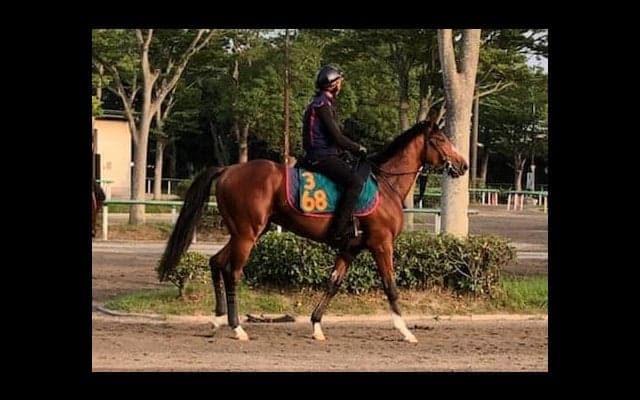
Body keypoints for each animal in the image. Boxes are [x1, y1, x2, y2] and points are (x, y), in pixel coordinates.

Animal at [158, 120, 468, 342]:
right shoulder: (382, 243)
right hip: (247, 234)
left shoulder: (350, 248)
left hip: (246, 232)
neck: (385, 184)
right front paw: (405, 331)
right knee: (232, 272)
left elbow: (333, 283)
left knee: (216, 262)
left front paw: (317, 325)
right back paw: (237, 328)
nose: (463, 165)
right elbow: (390, 286)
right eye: (441, 140)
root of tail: (227, 170)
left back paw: (217, 319)